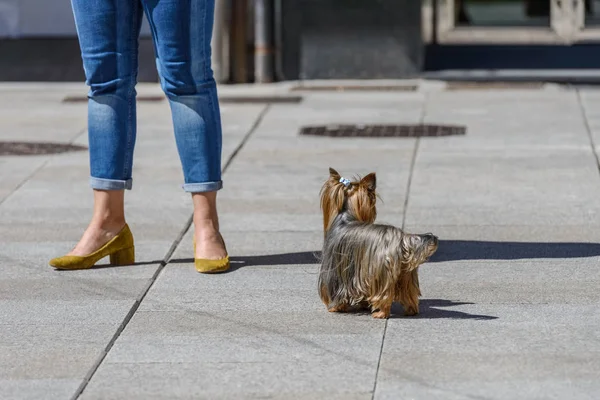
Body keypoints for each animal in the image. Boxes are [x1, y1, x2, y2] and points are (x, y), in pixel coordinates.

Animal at [318, 168, 440, 318]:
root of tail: (401, 238)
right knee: (409, 292)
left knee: (384, 295)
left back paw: (380, 313)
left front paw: (336, 307)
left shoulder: (335, 271)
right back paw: (411, 310)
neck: (345, 217)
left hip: (380, 272)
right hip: (405, 273)